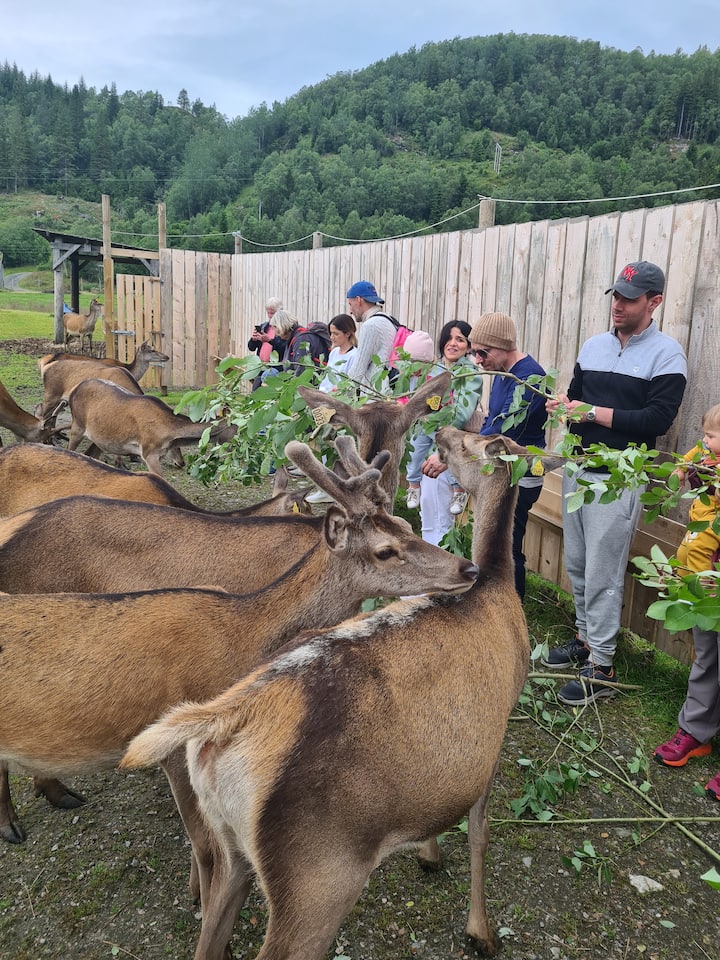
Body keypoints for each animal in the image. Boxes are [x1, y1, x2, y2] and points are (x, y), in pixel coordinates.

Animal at [0, 436, 478, 913]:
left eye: (402, 523)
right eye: (384, 550)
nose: (467, 568)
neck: (241, 634)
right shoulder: (175, 746)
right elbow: (205, 846)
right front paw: (197, 895)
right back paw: (15, 822)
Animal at [65, 378, 230, 476]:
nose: (182, 463)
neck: (168, 431)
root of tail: (73, 389)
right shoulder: (148, 452)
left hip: (101, 439)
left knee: (90, 454)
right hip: (77, 425)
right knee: (69, 449)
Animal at [122, 428, 531, 960]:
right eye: (466, 442)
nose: (440, 435)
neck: (501, 592)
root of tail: (225, 717)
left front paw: (429, 854)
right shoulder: (497, 724)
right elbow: (480, 831)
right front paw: (480, 930)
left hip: (233, 847)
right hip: (318, 873)